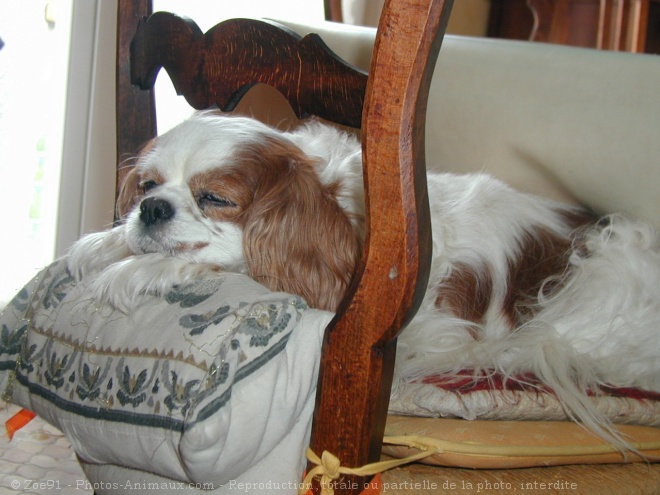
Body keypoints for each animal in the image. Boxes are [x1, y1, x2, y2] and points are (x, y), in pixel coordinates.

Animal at [67, 111, 660, 450]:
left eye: (214, 197)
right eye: (148, 185)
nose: (152, 209)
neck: (344, 212)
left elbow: (224, 262)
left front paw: (139, 268)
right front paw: (108, 242)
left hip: (600, 275)